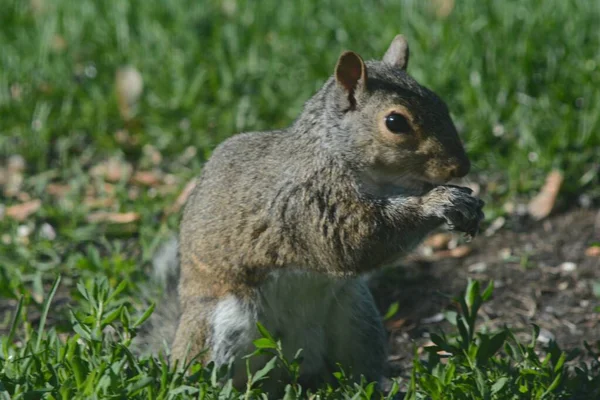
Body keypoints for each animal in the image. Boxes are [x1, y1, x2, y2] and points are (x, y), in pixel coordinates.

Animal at [139, 34, 482, 394]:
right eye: (395, 122)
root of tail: (287, 369)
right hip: (218, 329)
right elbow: (353, 243)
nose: (460, 167)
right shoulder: (305, 204)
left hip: (359, 323)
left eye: (440, 102)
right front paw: (439, 202)